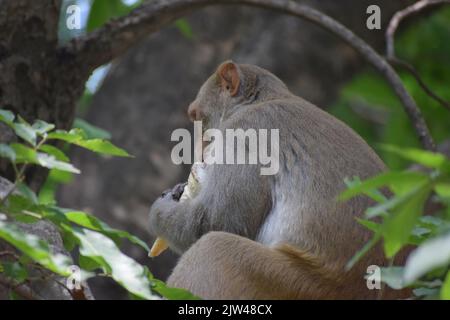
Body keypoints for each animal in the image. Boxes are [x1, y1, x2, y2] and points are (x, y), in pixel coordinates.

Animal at [149, 60, 408, 300]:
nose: (200, 150)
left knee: (213, 247)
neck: (261, 101)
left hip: (292, 283)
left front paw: (160, 210)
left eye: (197, 118)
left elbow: (216, 221)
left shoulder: (244, 134)